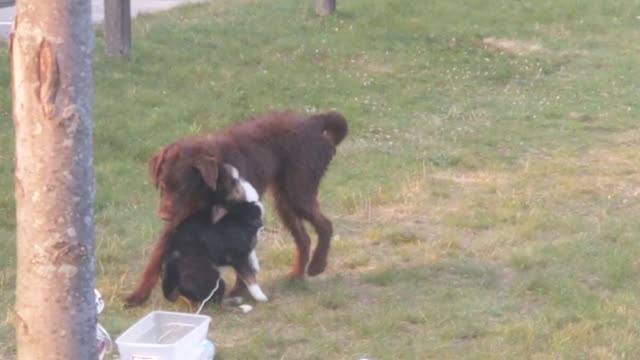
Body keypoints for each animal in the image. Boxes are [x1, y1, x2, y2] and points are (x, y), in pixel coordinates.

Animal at [162, 165, 270, 304]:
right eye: (224, 185)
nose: (224, 166)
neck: (240, 209)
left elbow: (252, 251)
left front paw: (255, 264)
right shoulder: (238, 259)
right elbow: (250, 278)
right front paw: (261, 297)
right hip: (216, 280)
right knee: (215, 301)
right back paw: (236, 300)